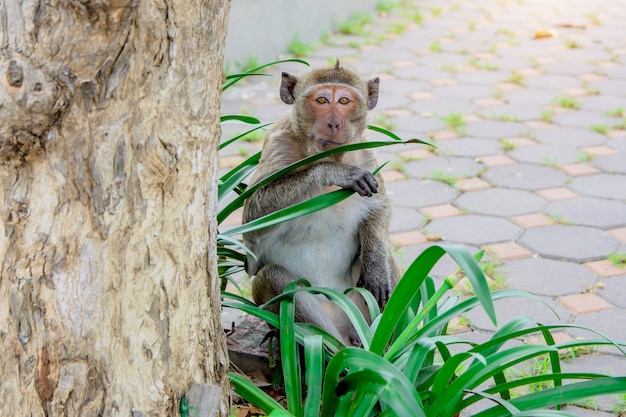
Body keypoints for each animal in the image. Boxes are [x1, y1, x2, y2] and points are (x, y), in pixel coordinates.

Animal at [241, 59, 398, 344]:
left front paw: (375, 263)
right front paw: (332, 173)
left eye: (344, 100)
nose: (334, 123)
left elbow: (380, 207)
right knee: (273, 276)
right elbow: (253, 222)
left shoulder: (366, 153)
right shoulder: (278, 143)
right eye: (322, 100)